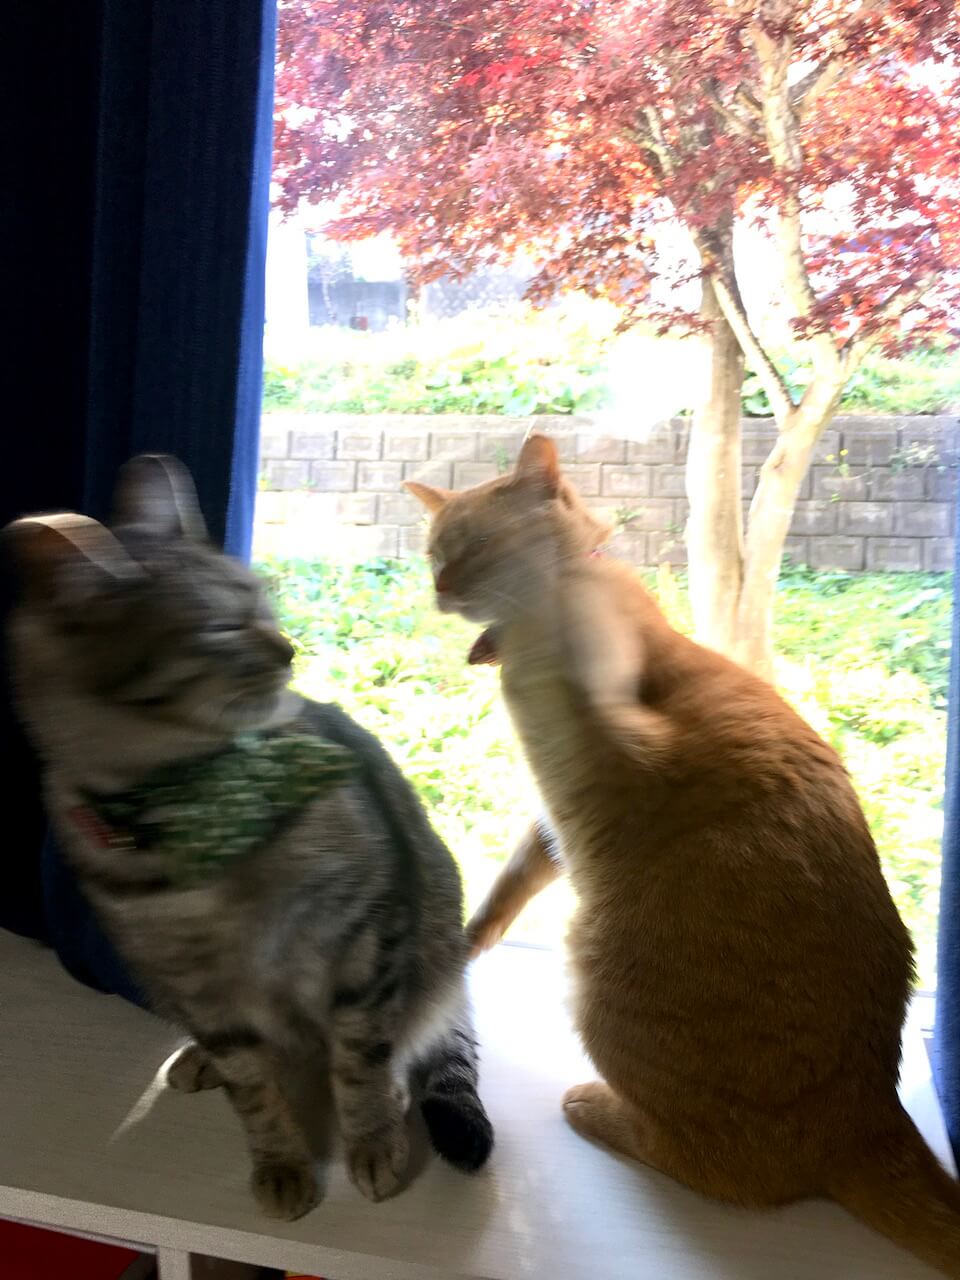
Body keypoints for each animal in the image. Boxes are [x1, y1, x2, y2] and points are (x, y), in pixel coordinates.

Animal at [5, 454, 492, 1221]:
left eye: (264, 604)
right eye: (219, 628)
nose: (287, 646)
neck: (197, 809)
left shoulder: (364, 940)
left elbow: (361, 1061)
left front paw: (371, 1140)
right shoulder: (197, 988)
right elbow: (253, 1091)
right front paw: (281, 1163)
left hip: (436, 939)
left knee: (412, 1034)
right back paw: (200, 1061)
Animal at [407, 432, 960, 1278]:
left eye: (475, 547)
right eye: (435, 551)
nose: (440, 587)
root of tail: (871, 1112)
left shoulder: (622, 722)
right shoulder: (550, 824)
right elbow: (502, 895)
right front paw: (460, 949)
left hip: (597, 973)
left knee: (719, 1167)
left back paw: (590, 1106)